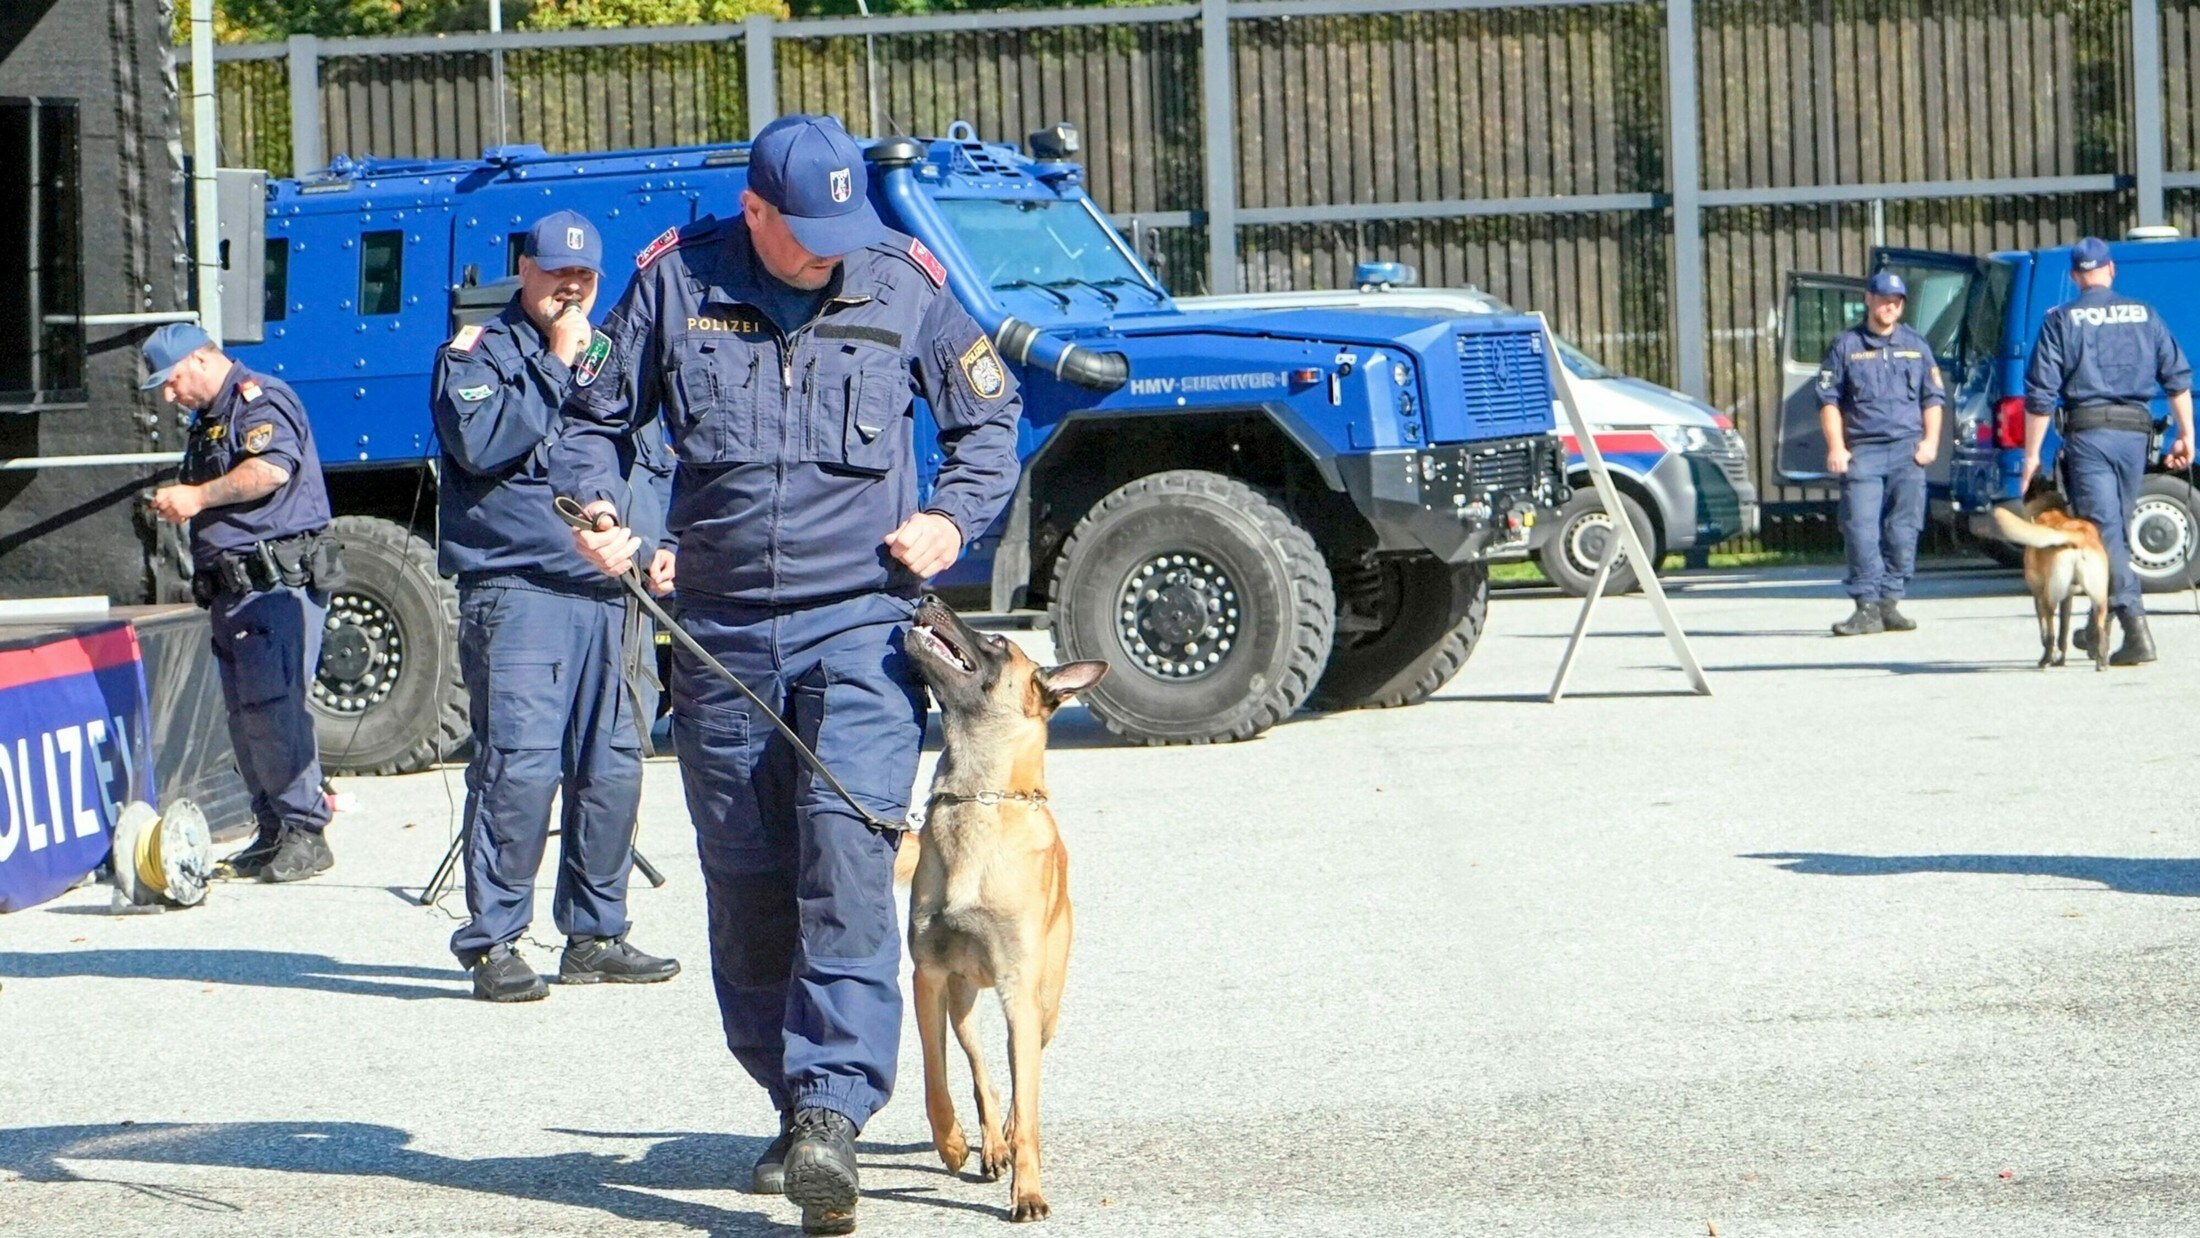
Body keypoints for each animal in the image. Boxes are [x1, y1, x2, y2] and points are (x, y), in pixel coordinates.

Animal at [897, 593, 1108, 1222]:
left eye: (997, 644)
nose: (927, 596)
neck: (979, 796)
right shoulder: (928, 978)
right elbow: (936, 1077)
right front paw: (952, 1142)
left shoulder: (1020, 992)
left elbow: (1029, 1103)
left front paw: (1029, 1191)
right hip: (961, 1003)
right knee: (982, 1073)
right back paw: (990, 1143)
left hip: (1044, 1006)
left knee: (1021, 1081)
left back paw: (1010, 1141)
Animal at [1997, 474, 2112, 672]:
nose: (2038, 473)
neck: (2050, 510)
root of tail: (2077, 537)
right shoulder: (2067, 598)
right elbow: (2063, 632)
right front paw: (2061, 659)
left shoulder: (2037, 596)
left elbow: (2045, 633)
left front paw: (2051, 657)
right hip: (2099, 598)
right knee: (2100, 629)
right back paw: (2101, 661)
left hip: (2049, 598)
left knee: (2049, 632)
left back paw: (2045, 661)